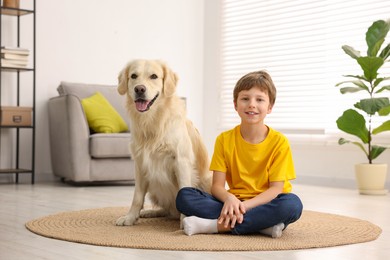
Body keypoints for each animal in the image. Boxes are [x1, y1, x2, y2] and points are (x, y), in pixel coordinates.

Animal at [116, 59, 212, 225]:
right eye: (133, 76)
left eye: (154, 76)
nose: (139, 89)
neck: (153, 122)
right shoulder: (140, 164)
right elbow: (137, 197)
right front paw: (130, 217)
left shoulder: (181, 161)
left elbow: (184, 191)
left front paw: (185, 220)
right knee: (167, 211)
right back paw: (149, 212)